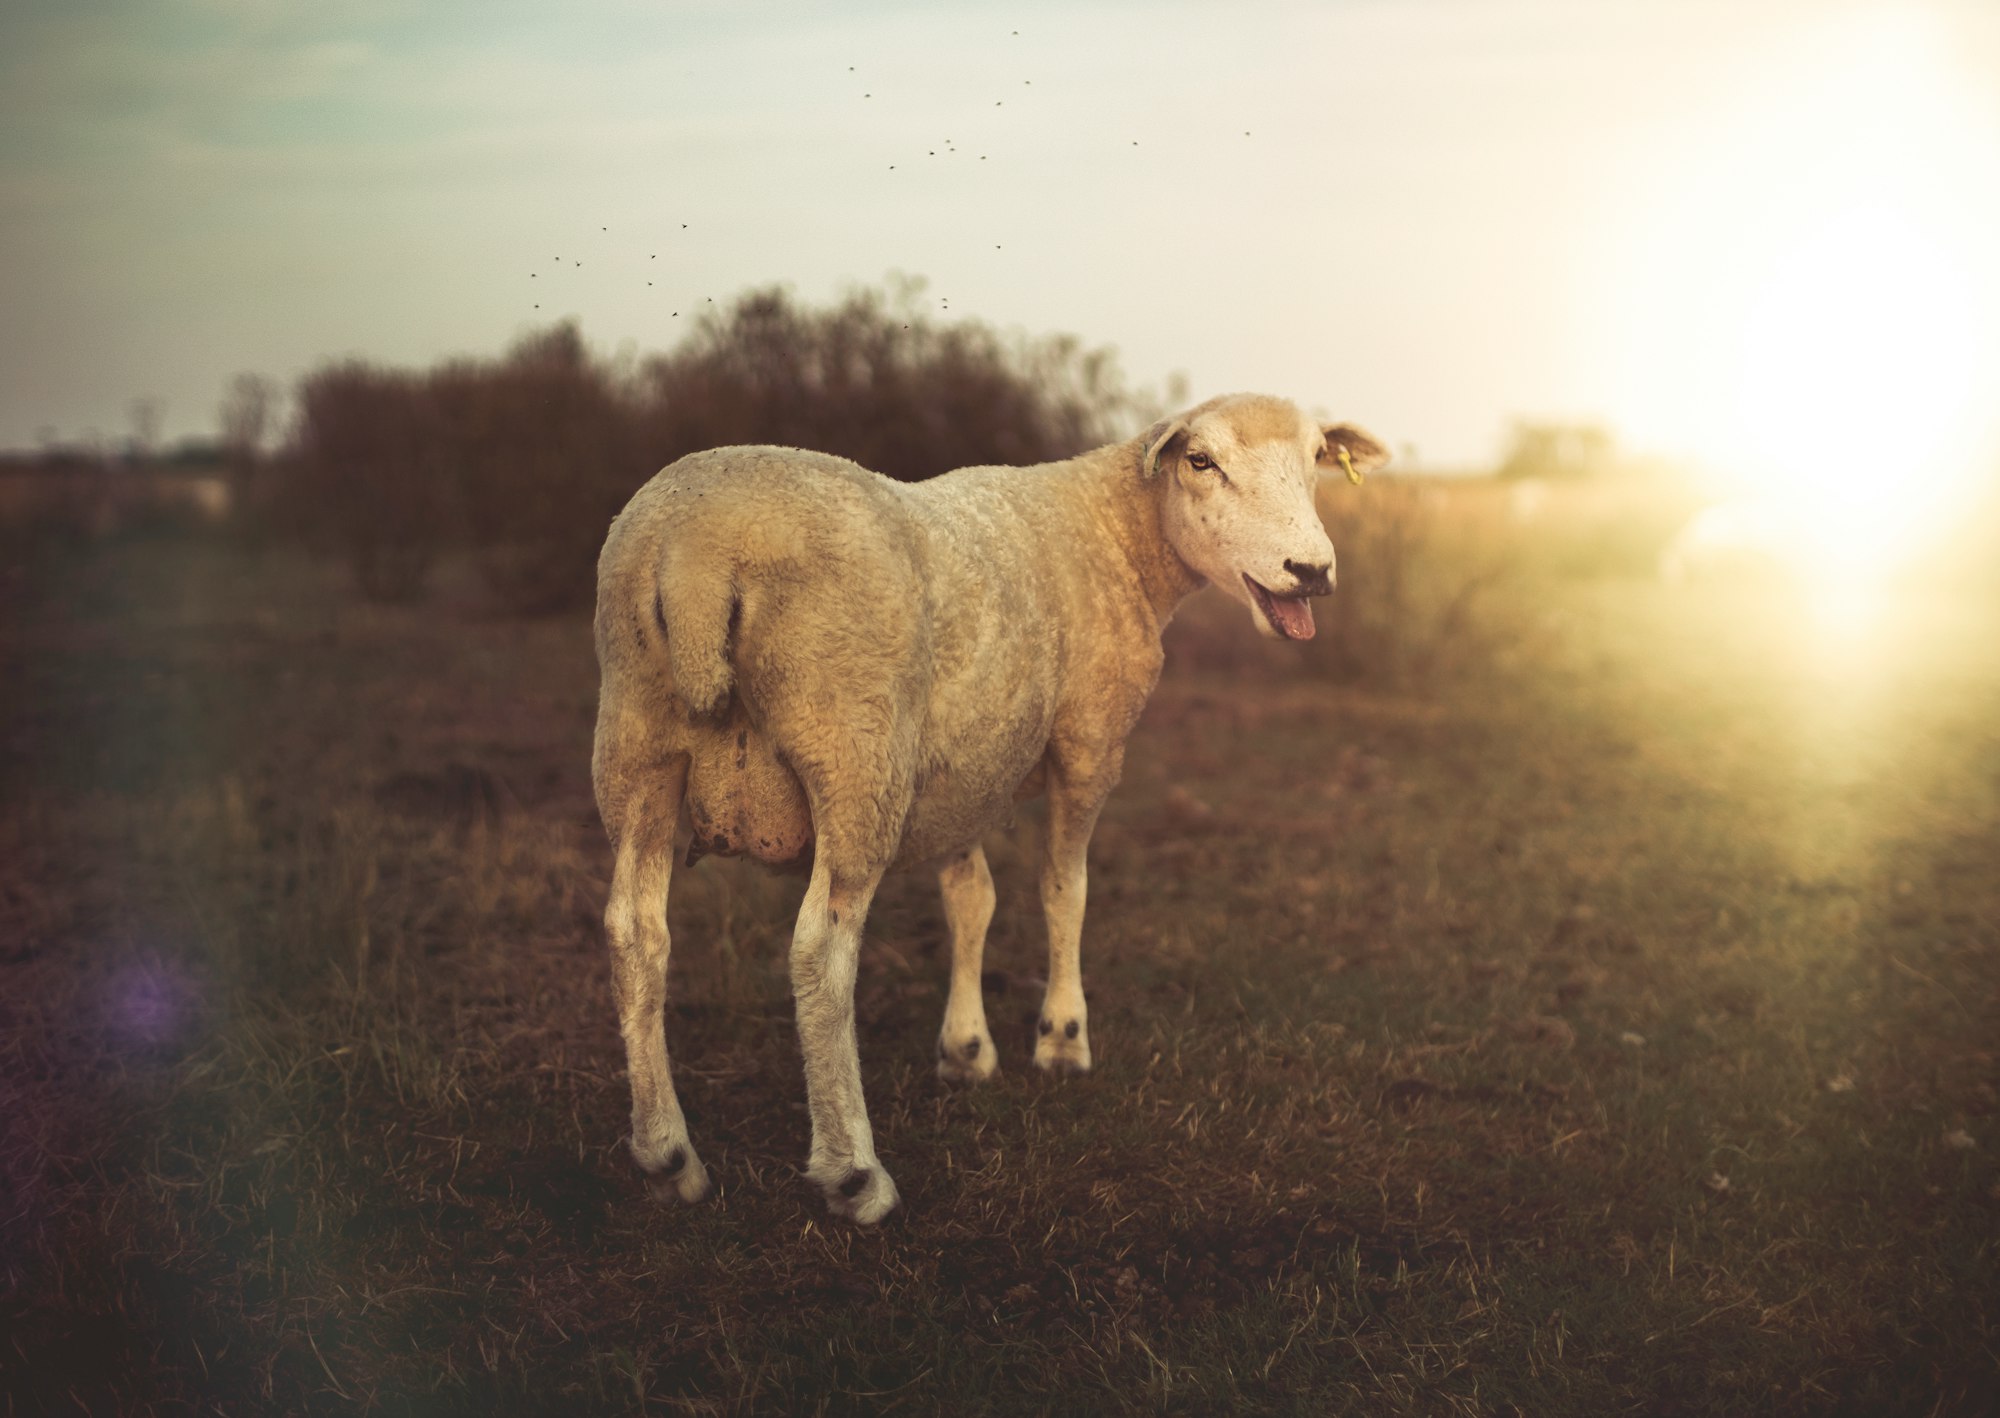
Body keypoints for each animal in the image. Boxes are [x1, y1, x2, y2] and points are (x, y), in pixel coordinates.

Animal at [584, 392, 1384, 1224]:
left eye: (1317, 459)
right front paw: (1062, 1038)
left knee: (636, 933)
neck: (1115, 533)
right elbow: (1064, 889)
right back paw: (854, 1172)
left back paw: (667, 1156)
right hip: (854, 751)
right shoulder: (1089, 739)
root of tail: (699, 556)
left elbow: (970, 897)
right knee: (820, 953)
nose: (1311, 571)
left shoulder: (962, 765)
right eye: (1202, 461)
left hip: (636, 742)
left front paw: (966, 1050)